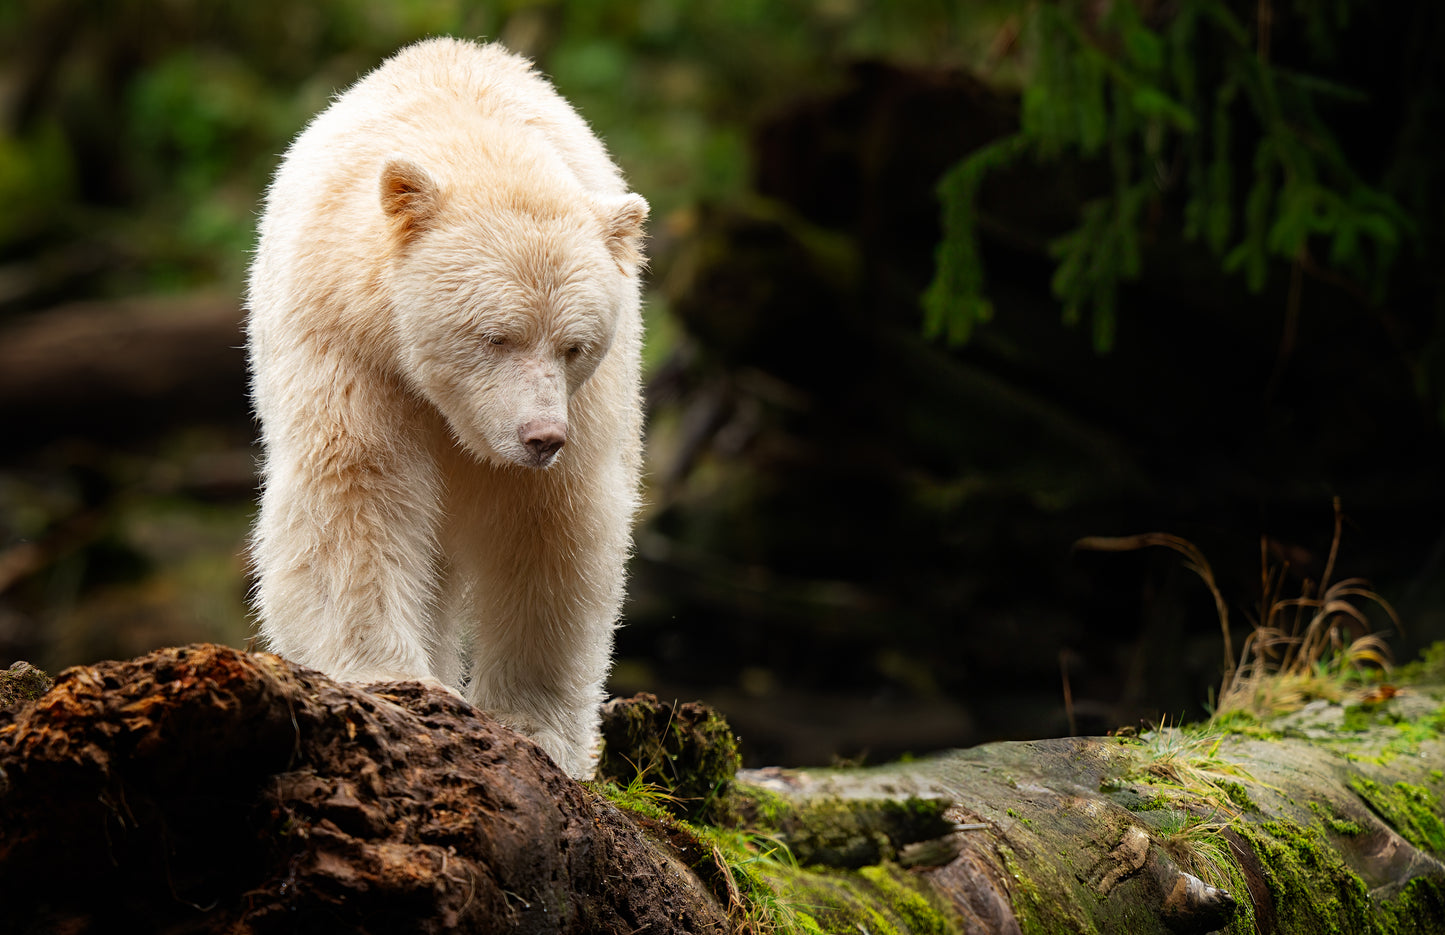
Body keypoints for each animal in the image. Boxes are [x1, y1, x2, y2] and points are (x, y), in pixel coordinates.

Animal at [248, 36, 650, 780]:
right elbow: (354, 495)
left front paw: (535, 729)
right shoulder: (346, 344)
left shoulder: (591, 401)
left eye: (574, 344)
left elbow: (552, 529)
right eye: (495, 335)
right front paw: (387, 678)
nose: (541, 436)